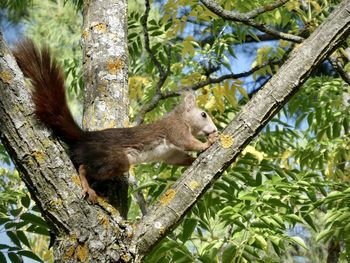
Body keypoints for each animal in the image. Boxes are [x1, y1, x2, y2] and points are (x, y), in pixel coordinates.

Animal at [13, 39, 219, 204]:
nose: (214, 129)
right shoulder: (174, 129)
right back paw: (88, 188)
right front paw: (207, 143)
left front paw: (193, 159)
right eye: (203, 115)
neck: (181, 118)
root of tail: (85, 138)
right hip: (113, 160)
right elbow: (186, 142)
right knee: (84, 168)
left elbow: (178, 158)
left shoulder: (170, 153)